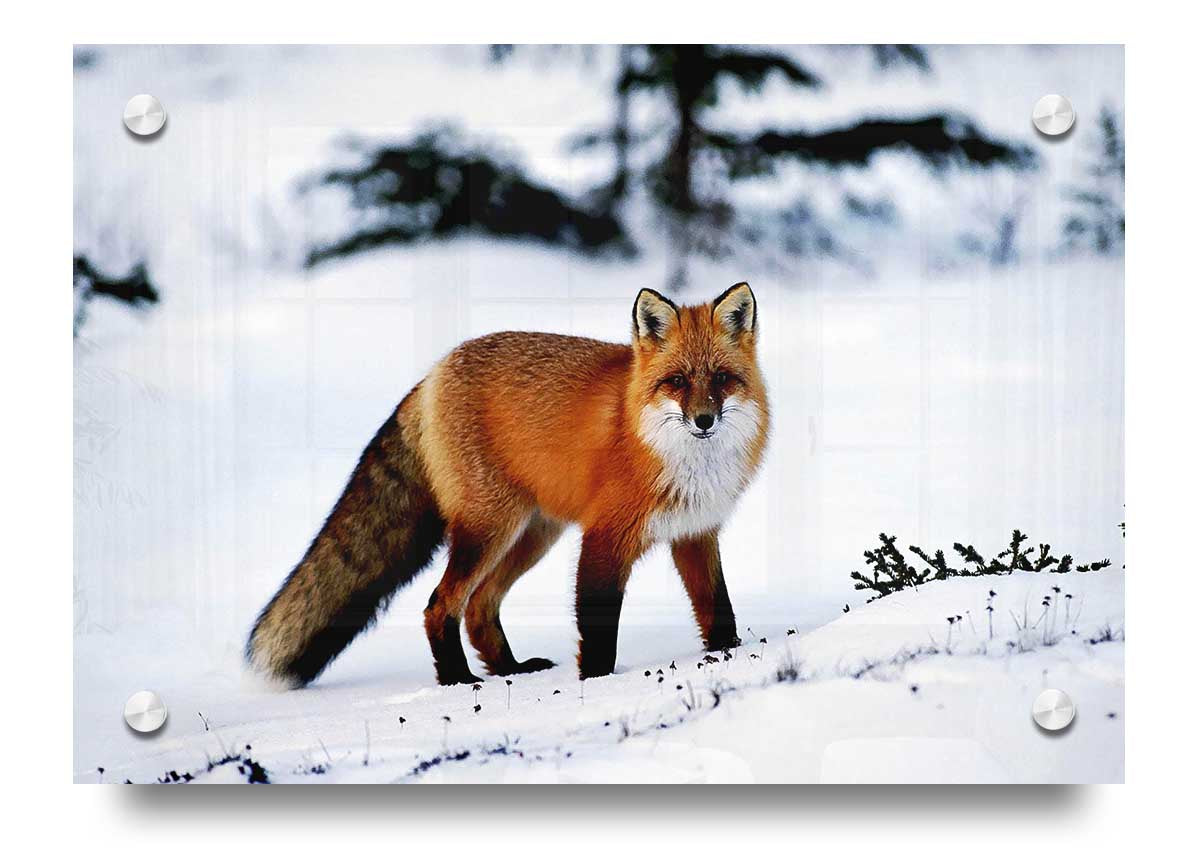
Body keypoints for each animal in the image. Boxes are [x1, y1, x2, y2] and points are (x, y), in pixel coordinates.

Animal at [246, 282, 769, 687]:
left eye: (722, 379)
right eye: (677, 381)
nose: (703, 421)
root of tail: (433, 373)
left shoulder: (695, 532)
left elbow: (719, 609)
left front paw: (727, 657)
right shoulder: (605, 536)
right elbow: (598, 628)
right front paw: (597, 684)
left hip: (533, 534)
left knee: (479, 607)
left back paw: (510, 669)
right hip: (489, 529)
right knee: (440, 605)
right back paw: (459, 681)